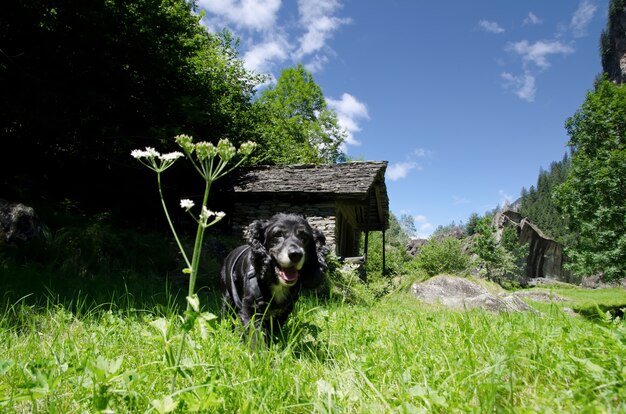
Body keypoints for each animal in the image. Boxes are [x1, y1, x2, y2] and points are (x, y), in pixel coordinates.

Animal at [218, 212, 330, 344]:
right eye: (278, 234)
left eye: (304, 236)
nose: (296, 254)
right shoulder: (250, 309)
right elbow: (255, 335)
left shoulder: (284, 311)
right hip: (228, 298)